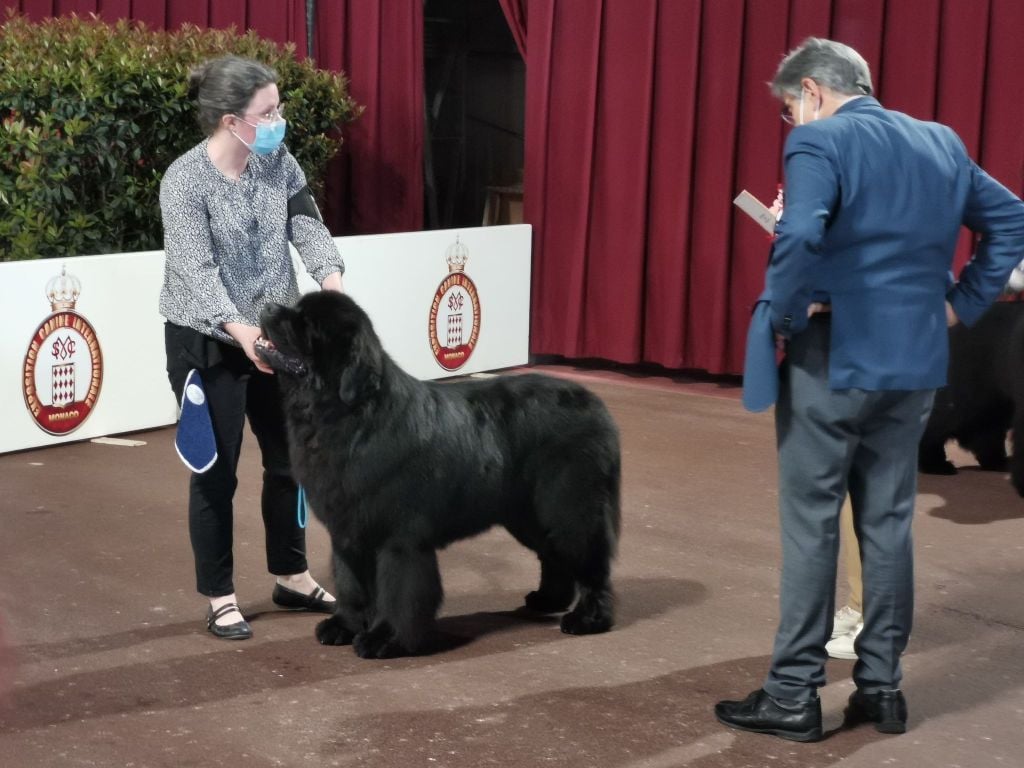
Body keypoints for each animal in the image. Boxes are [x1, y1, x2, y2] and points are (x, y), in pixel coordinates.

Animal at [260, 290, 618, 659]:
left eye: (307, 324)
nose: (268, 306)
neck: (347, 416)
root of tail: (597, 406)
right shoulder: (348, 532)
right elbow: (350, 583)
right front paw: (344, 626)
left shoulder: (398, 538)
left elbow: (397, 592)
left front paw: (386, 639)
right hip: (526, 512)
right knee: (553, 554)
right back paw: (547, 600)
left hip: (568, 506)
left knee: (590, 562)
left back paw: (588, 619)